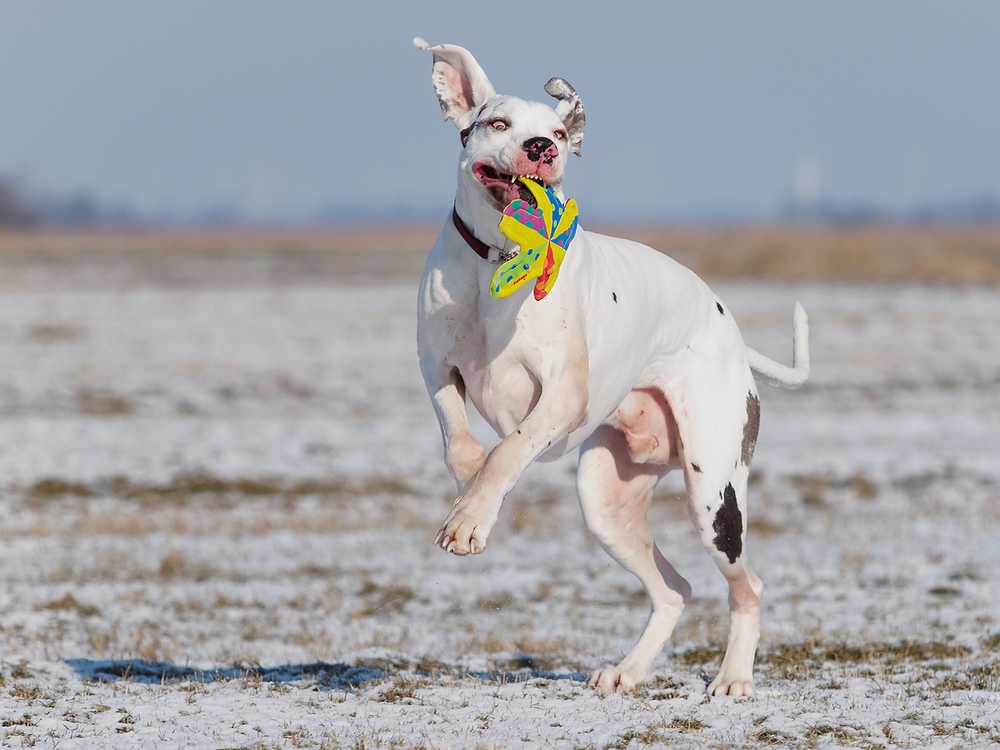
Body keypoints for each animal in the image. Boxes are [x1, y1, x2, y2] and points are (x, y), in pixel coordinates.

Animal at [410, 38, 808, 700]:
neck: (499, 260)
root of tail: (729, 328)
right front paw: (468, 496)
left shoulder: (561, 398)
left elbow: (509, 449)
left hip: (714, 500)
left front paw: (470, 519)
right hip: (606, 504)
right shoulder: (436, 366)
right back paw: (628, 670)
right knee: (674, 589)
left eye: (555, 133)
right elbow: (460, 442)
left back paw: (732, 677)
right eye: (498, 123)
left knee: (746, 586)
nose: (542, 148)